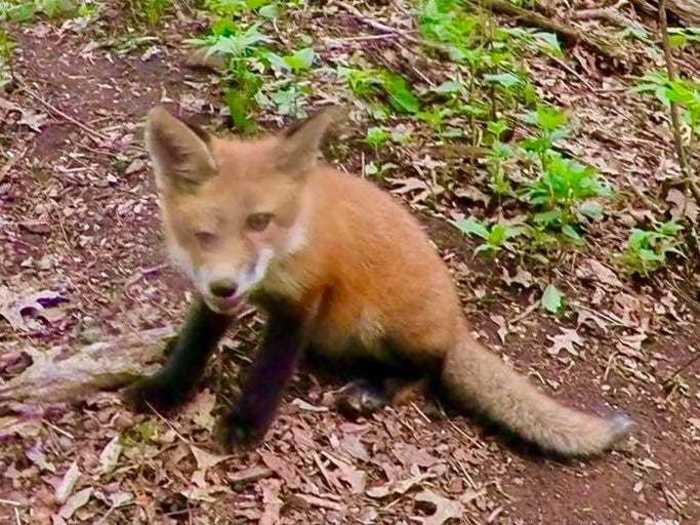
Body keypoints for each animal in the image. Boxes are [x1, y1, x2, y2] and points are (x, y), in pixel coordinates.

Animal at [124, 104, 636, 456]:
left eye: (259, 222)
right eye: (203, 233)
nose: (227, 286)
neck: (290, 246)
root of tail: (457, 323)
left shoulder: (305, 298)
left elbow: (269, 371)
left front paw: (246, 424)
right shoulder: (211, 293)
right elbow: (194, 344)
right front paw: (165, 389)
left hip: (380, 325)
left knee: (431, 371)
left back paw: (375, 391)